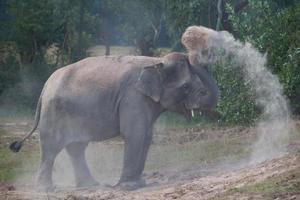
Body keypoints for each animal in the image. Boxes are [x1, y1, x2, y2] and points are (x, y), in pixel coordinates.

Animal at [9, 51, 218, 191]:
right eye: (186, 87)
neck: (156, 61)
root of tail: (45, 87)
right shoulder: (133, 97)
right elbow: (134, 134)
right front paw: (129, 186)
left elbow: (146, 136)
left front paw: (139, 183)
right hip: (54, 113)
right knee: (52, 148)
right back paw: (46, 190)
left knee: (77, 147)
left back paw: (91, 184)